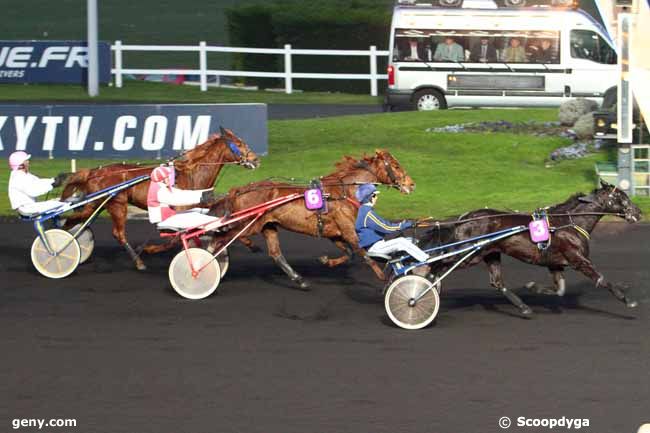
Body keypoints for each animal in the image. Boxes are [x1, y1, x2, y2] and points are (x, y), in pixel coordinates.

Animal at [59, 125, 260, 270]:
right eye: (239, 144)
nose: (256, 160)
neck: (193, 175)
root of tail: (95, 171)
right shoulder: (180, 212)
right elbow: (177, 237)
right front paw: (150, 249)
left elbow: (220, 223)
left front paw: (249, 243)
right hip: (117, 204)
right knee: (118, 233)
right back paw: (138, 261)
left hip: (97, 203)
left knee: (74, 219)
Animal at [205, 149, 412, 290]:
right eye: (395, 166)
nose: (411, 184)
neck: (344, 192)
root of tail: (240, 189)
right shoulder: (349, 231)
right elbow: (363, 253)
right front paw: (384, 277)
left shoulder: (334, 233)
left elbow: (349, 254)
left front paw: (326, 261)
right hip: (249, 223)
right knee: (222, 237)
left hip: (268, 225)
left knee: (275, 253)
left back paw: (299, 279)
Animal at [420, 180, 636, 318]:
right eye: (622, 198)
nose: (639, 212)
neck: (570, 223)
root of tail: (464, 218)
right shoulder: (578, 259)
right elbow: (601, 279)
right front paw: (628, 301)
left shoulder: (555, 264)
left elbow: (559, 290)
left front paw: (533, 287)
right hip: (468, 254)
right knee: (437, 264)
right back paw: (423, 289)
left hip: (490, 253)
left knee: (497, 282)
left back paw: (524, 308)